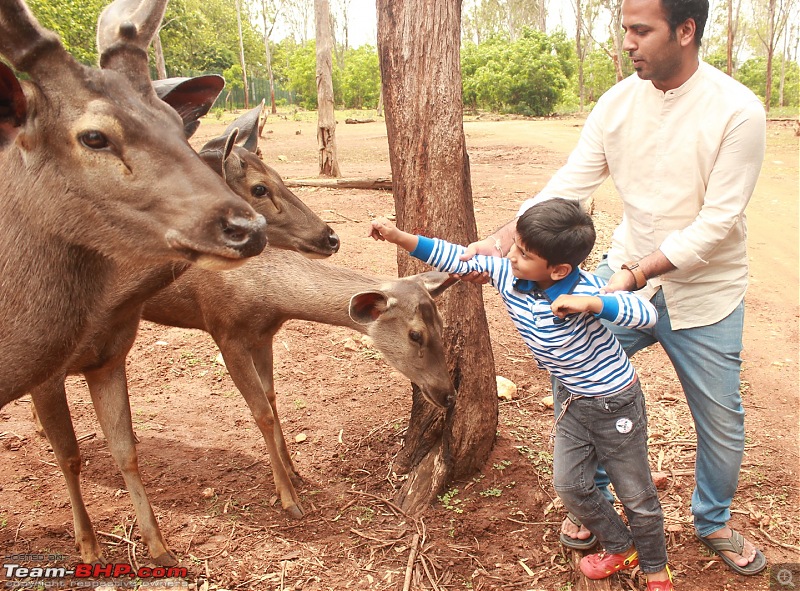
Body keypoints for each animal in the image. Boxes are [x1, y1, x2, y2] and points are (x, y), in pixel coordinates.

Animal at [28, 91, 340, 564]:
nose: (330, 236)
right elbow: (260, 410)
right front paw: (288, 499)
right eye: (259, 188)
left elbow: (271, 400)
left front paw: (295, 474)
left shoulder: (259, 335)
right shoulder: (223, 328)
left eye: (281, 176)